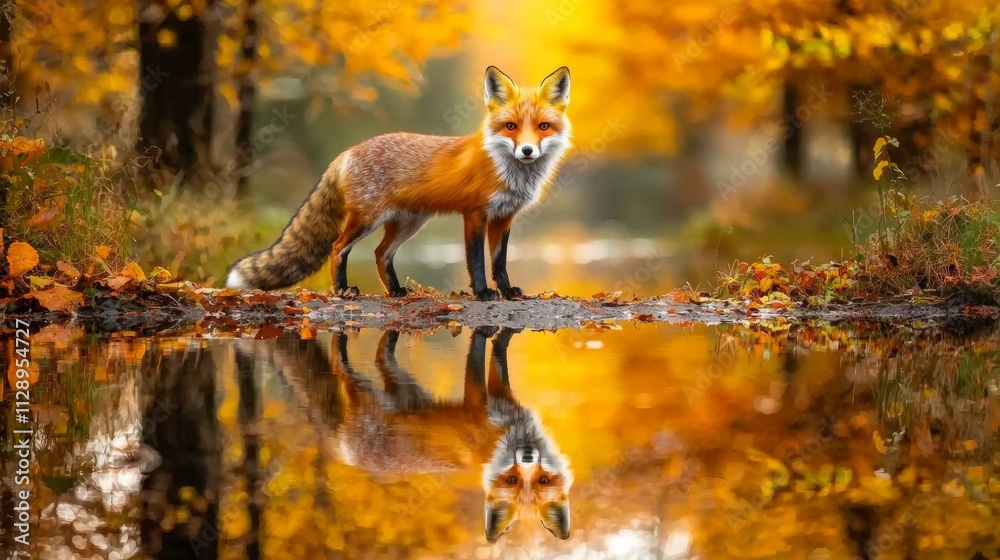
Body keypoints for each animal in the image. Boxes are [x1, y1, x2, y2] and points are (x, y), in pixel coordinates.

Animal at [225, 66, 572, 301]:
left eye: (543, 127)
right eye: (510, 126)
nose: (527, 151)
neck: (507, 171)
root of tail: (347, 152)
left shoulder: (504, 216)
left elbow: (499, 262)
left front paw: (508, 290)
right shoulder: (475, 214)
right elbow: (476, 261)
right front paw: (483, 292)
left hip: (408, 223)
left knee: (381, 253)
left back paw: (395, 291)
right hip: (368, 218)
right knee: (338, 247)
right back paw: (342, 290)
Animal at [261, 327, 573, 543]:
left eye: (542, 480)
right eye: (511, 479)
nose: (528, 455)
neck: (506, 437)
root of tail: (350, 457)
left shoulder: (502, 397)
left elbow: (499, 358)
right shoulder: (478, 403)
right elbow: (479, 359)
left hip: (402, 385)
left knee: (378, 359)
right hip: (364, 391)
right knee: (339, 367)